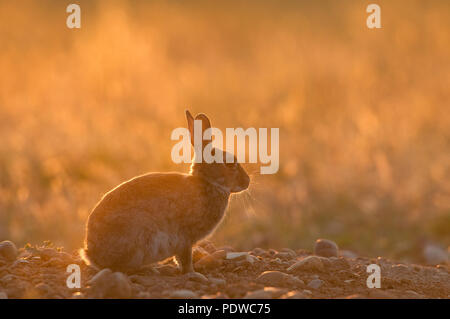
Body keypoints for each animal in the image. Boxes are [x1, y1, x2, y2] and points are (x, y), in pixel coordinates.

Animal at [80, 111, 250, 274]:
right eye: (230, 163)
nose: (247, 181)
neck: (207, 182)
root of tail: (91, 253)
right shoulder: (184, 238)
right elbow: (185, 258)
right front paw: (192, 272)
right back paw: (150, 269)